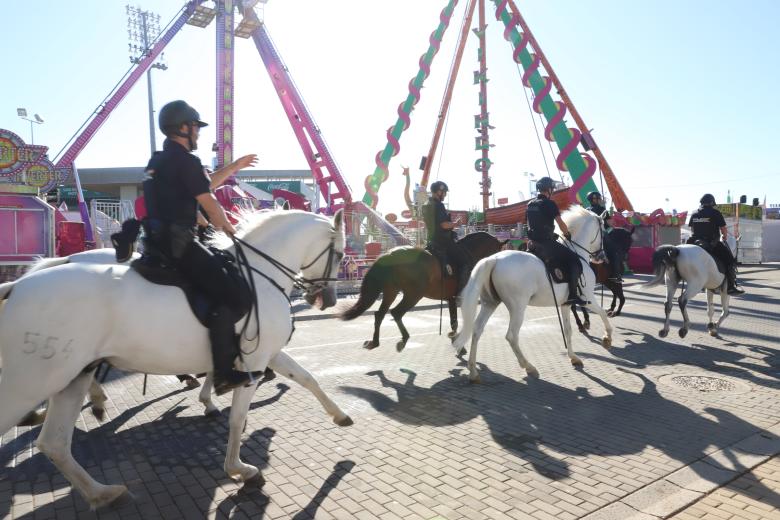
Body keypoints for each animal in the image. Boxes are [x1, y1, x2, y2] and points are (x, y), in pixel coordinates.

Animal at [0, 208, 348, 508]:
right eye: (342, 255)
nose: (328, 299)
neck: (258, 278)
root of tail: (15, 286)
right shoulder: (256, 360)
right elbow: (238, 419)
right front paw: (239, 469)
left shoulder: (268, 354)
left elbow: (306, 377)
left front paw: (339, 414)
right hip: (31, 383)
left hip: (73, 377)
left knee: (54, 443)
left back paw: (102, 492)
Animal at [338, 233, 508, 352]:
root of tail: (388, 254)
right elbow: (456, 321)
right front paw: (458, 342)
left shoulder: (451, 299)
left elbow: (453, 320)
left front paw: (454, 339)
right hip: (413, 294)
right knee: (396, 312)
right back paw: (403, 339)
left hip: (391, 291)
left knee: (380, 314)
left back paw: (374, 342)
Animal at [454, 206, 612, 382]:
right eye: (603, 231)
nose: (602, 257)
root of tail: (494, 259)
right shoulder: (588, 298)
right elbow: (603, 313)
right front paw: (607, 338)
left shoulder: (565, 304)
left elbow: (568, 330)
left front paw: (573, 357)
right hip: (518, 307)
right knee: (511, 336)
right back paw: (528, 366)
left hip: (490, 303)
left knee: (476, 330)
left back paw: (473, 371)